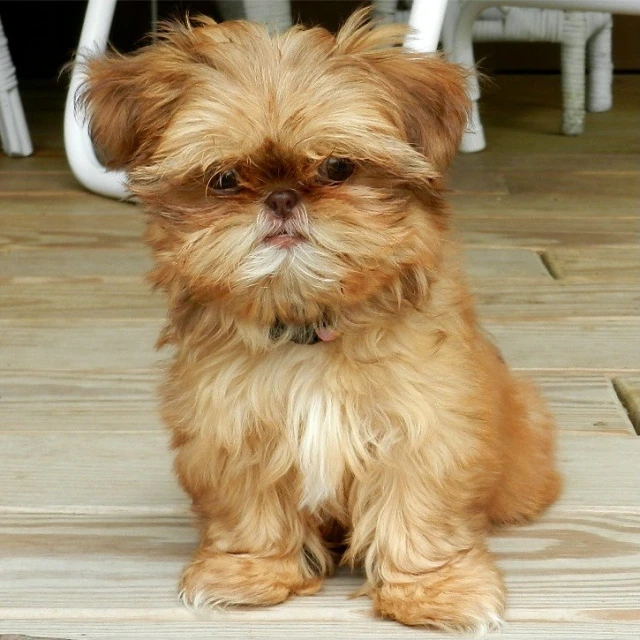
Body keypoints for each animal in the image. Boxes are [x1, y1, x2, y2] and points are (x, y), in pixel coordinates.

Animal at [79, 10, 560, 636]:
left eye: (337, 168)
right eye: (223, 179)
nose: (282, 198)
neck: (309, 328)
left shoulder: (424, 428)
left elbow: (419, 510)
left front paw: (436, 589)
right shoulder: (232, 427)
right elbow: (251, 509)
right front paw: (248, 572)